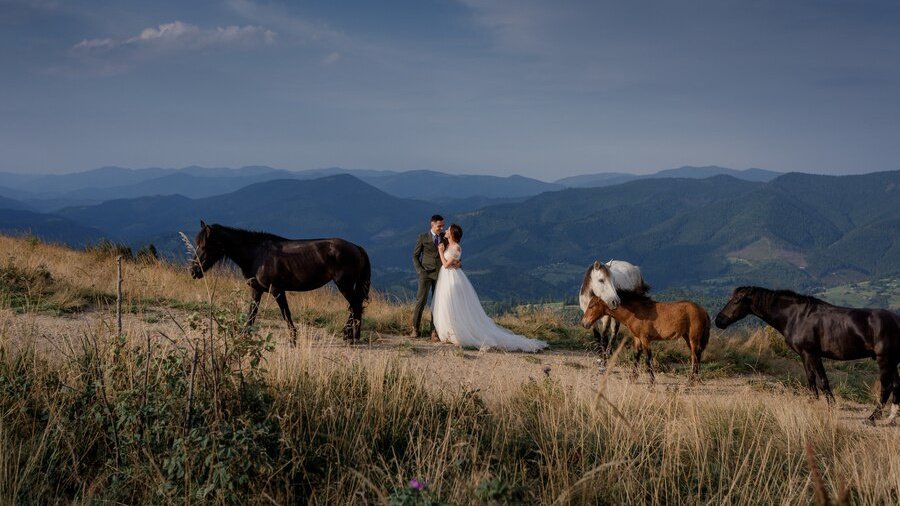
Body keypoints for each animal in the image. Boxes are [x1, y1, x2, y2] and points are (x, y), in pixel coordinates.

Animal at [190, 222, 372, 344]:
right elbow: (251, 314)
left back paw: (352, 337)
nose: (193, 271)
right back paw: (349, 334)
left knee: (355, 304)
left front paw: (293, 339)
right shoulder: (256, 290)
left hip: (344, 284)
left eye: (205, 245)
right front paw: (244, 335)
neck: (257, 254)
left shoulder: (277, 289)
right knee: (355, 305)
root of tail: (357, 248)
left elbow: (286, 313)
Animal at [584, 292, 712, 384]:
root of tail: (702, 310)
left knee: (696, 357)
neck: (635, 312)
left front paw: (651, 381)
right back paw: (693, 379)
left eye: (591, 306)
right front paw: (633, 377)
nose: (584, 323)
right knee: (694, 356)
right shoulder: (637, 338)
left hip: (693, 338)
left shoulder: (645, 339)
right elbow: (636, 356)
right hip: (687, 338)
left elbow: (647, 358)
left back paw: (691, 381)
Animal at [716, 286, 900, 424]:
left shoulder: (810, 353)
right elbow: (814, 379)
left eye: (736, 300)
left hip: (884, 359)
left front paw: (826, 406)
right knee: (896, 386)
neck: (796, 316)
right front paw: (817, 403)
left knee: (886, 387)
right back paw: (891, 417)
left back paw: (872, 418)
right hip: (893, 361)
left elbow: (819, 380)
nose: (719, 321)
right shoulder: (807, 355)